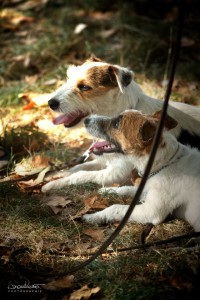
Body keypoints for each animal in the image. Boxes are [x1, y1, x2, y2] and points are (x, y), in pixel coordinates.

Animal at [41, 56, 200, 192]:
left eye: (85, 87)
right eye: (68, 78)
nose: (50, 103)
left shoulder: (118, 172)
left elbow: (82, 174)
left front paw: (54, 184)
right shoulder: (105, 159)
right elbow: (80, 167)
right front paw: (59, 174)